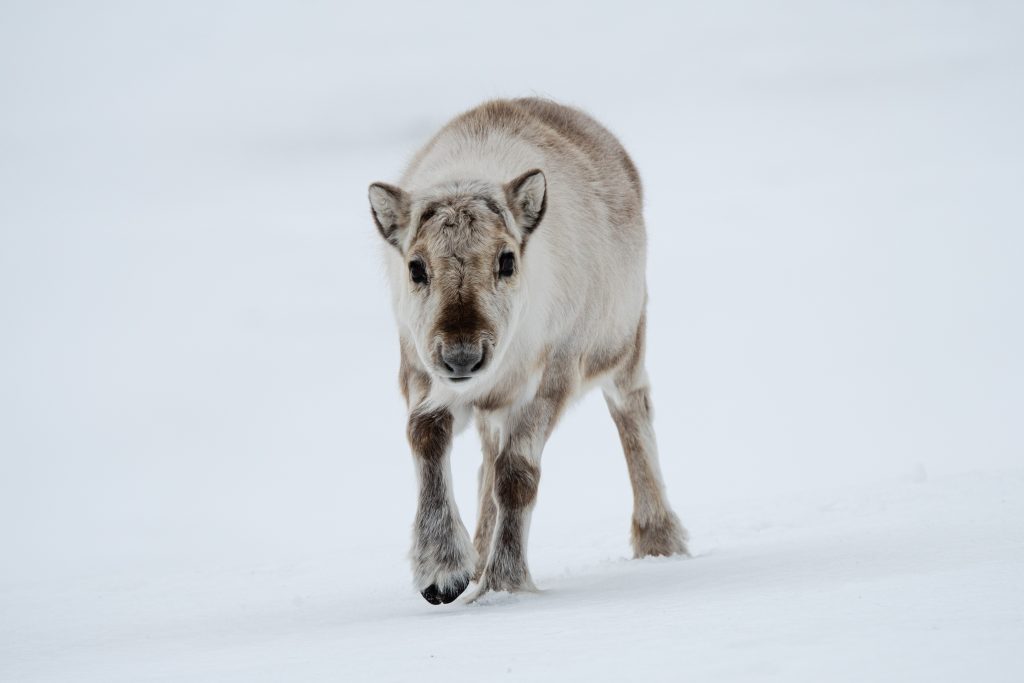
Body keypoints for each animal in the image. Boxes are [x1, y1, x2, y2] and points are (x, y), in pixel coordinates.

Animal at [367, 97, 688, 605]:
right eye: (416, 267)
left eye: (507, 260)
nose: (463, 356)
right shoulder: (420, 370)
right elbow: (426, 434)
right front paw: (444, 571)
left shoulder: (552, 377)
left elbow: (517, 476)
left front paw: (505, 584)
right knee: (486, 459)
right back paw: (477, 556)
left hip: (626, 345)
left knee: (633, 415)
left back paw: (659, 540)